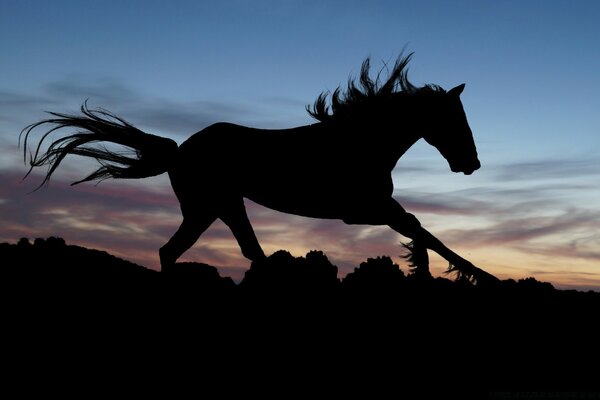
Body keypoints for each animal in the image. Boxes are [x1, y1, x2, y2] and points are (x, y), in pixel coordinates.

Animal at [19, 54, 496, 284]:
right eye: (455, 119)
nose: (471, 164)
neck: (358, 143)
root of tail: (180, 151)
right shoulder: (364, 209)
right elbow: (422, 229)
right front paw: (477, 275)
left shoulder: (372, 209)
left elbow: (421, 232)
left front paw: (429, 269)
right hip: (211, 206)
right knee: (184, 252)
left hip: (220, 208)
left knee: (232, 253)